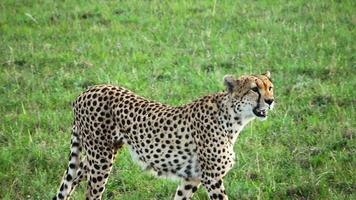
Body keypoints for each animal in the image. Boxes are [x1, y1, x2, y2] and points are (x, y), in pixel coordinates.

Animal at [53, 71, 276, 199]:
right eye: (254, 89)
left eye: (270, 87)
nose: (271, 100)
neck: (233, 118)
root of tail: (86, 91)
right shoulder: (211, 177)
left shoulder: (192, 177)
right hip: (101, 158)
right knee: (91, 193)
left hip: (98, 155)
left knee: (72, 179)